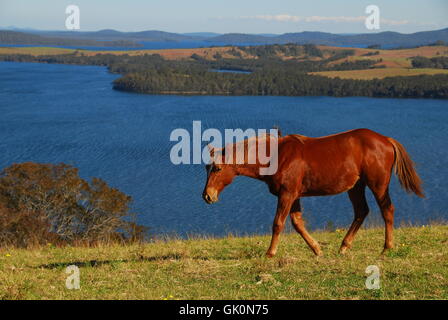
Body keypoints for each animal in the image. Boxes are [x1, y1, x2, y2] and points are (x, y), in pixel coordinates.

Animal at [203, 129, 424, 256]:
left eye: (217, 169)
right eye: (207, 168)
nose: (207, 196)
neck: (277, 156)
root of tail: (385, 139)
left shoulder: (287, 194)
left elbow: (278, 223)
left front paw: (270, 253)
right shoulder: (294, 195)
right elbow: (297, 223)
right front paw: (317, 249)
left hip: (378, 185)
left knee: (387, 210)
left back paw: (387, 248)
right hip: (356, 186)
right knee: (361, 211)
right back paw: (344, 246)